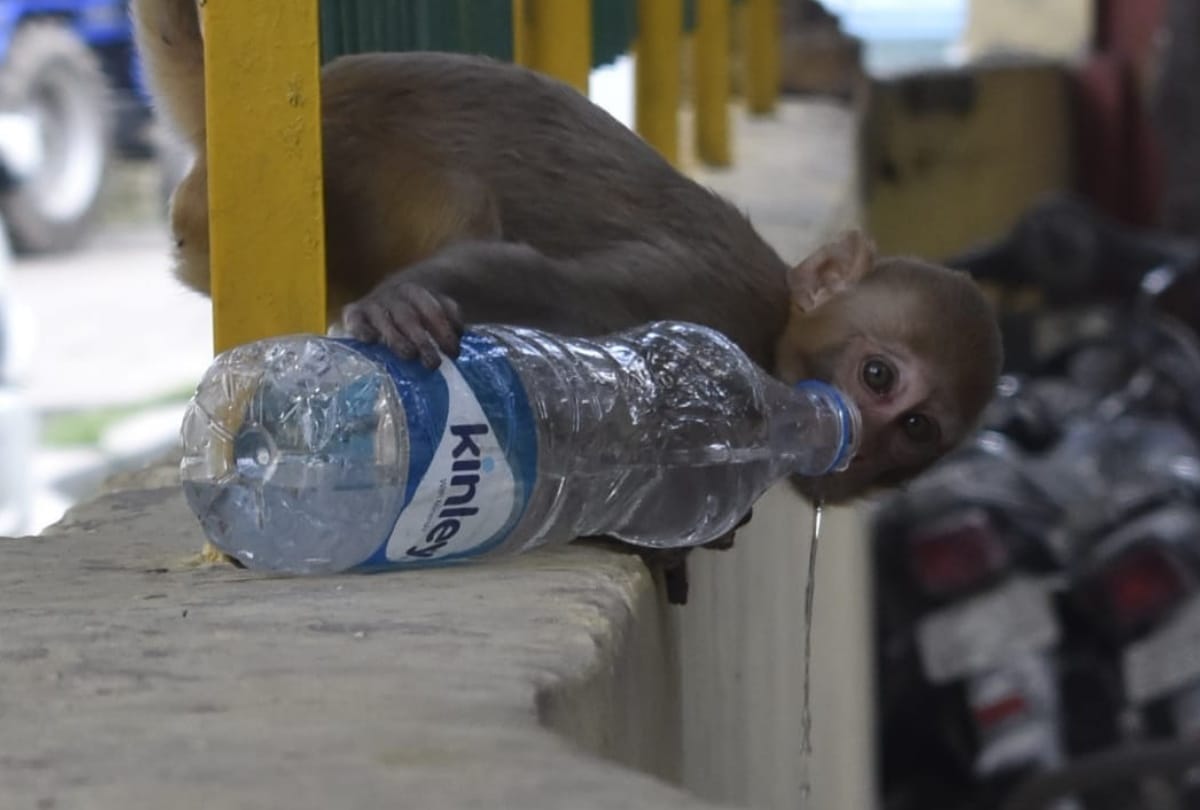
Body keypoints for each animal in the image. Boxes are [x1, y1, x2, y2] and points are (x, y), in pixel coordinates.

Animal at [132, 0, 1002, 552]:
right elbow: (552, 287)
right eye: (878, 376)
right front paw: (401, 306)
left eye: (915, 431)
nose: (862, 445)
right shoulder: (712, 294)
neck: (776, 328)